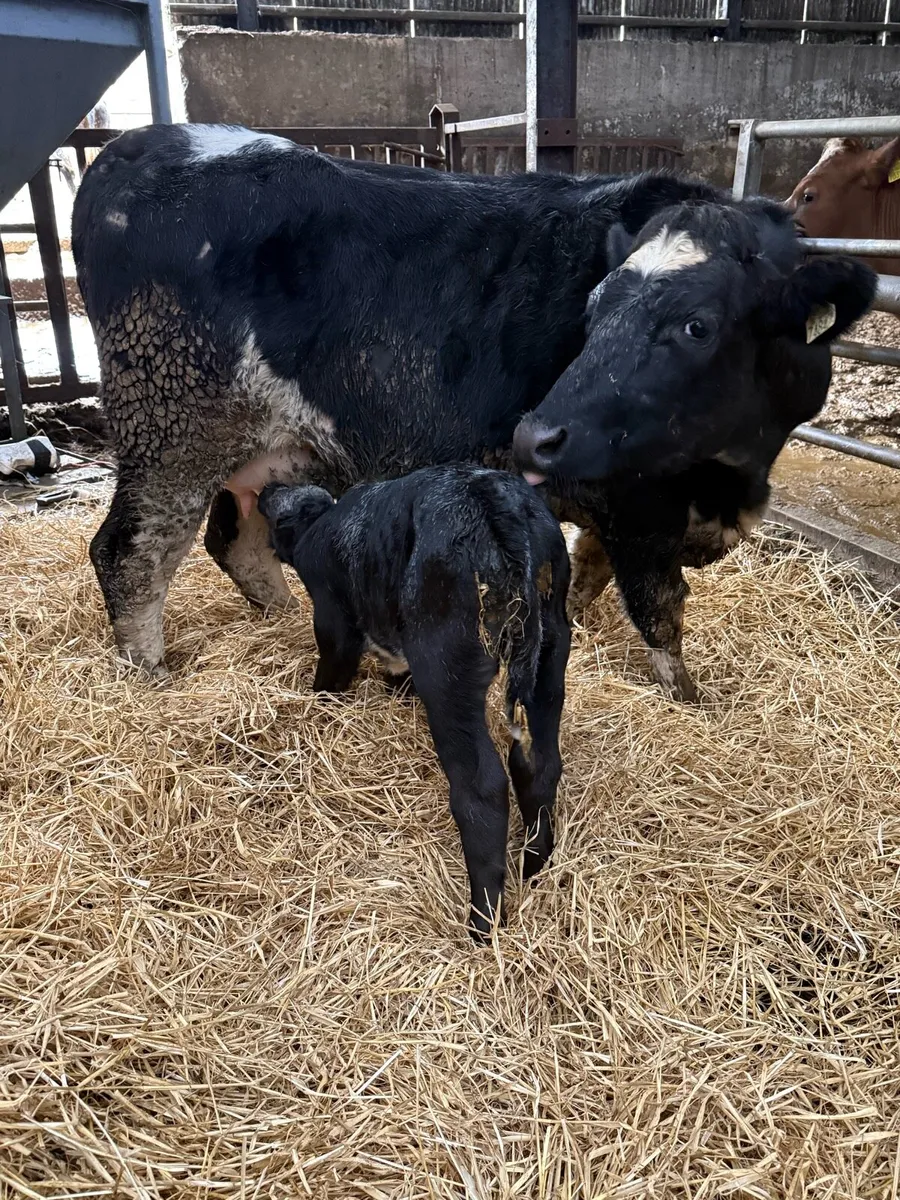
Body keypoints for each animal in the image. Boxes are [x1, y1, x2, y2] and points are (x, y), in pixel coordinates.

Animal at [71, 123, 875, 700]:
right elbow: (660, 610)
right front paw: (690, 699)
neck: (735, 471)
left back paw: (285, 620)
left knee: (235, 543)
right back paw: (149, 679)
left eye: (697, 325)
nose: (534, 433)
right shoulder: (638, 506)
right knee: (131, 555)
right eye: (592, 308)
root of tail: (138, 145)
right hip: (170, 430)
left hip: (259, 449)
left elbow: (586, 579)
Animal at [257, 465, 570, 938]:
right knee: (541, 763)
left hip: (446, 667)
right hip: (550, 656)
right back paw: (534, 863)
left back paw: (483, 923)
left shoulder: (333, 620)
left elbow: (332, 669)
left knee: (481, 788)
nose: (267, 488)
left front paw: (319, 701)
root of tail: (496, 500)